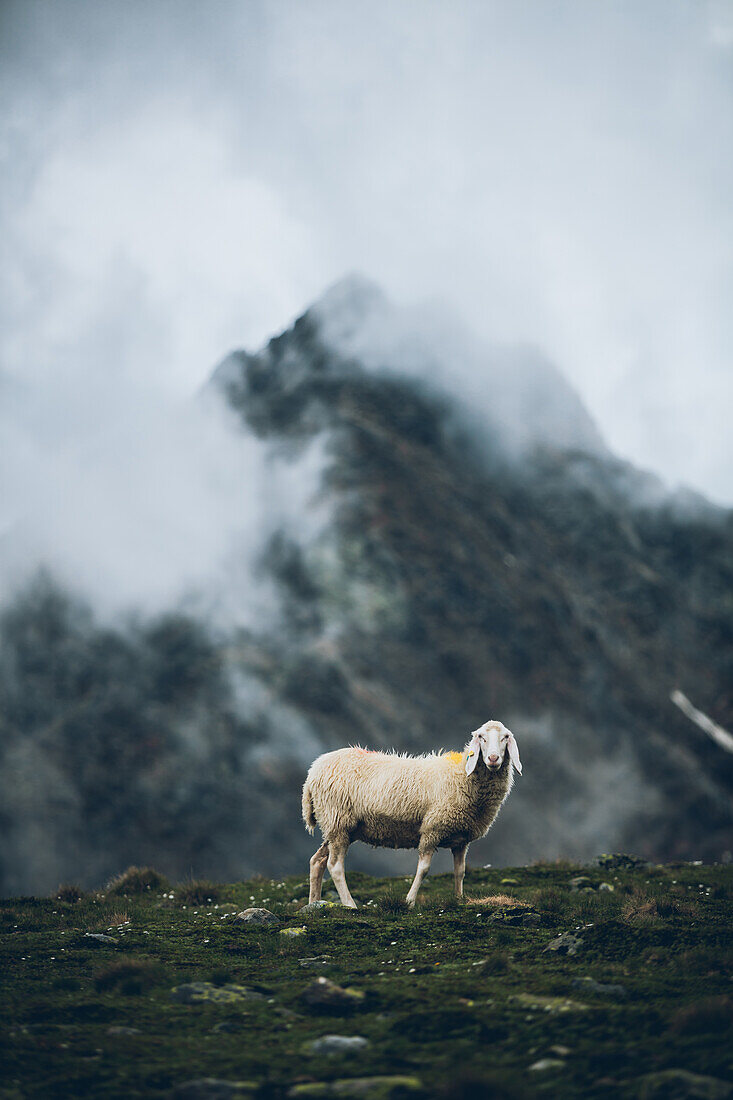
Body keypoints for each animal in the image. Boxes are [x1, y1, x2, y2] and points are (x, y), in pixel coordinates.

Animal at [299, 717, 519, 906]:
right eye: (481, 737)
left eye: (505, 736)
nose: (493, 758)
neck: (461, 775)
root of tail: (312, 772)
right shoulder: (432, 829)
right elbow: (423, 869)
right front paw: (410, 902)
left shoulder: (461, 838)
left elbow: (460, 871)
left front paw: (458, 900)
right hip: (338, 821)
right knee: (335, 866)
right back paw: (349, 905)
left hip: (339, 826)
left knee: (317, 861)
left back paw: (314, 903)